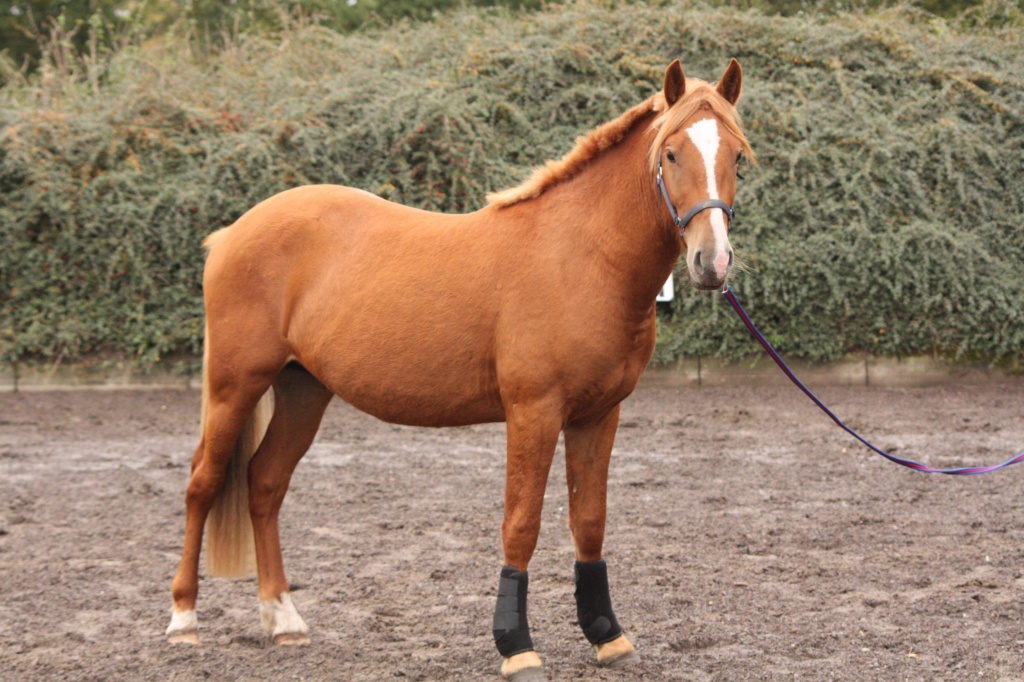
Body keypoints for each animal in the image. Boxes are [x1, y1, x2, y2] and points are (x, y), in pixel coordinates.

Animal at [165, 58, 753, 681]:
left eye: (736, 157)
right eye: (671, 153)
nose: (712, 262)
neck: (582, 256)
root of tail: (231, 233)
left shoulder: (599, 415)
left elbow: (589, 521)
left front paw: (607, 635)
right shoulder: (533, 413)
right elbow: (521, 523)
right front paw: (516, 645)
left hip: (304, 391)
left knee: (264, 483)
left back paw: (284, 619)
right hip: (234, 387)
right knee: (203, 485)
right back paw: (184, 620)